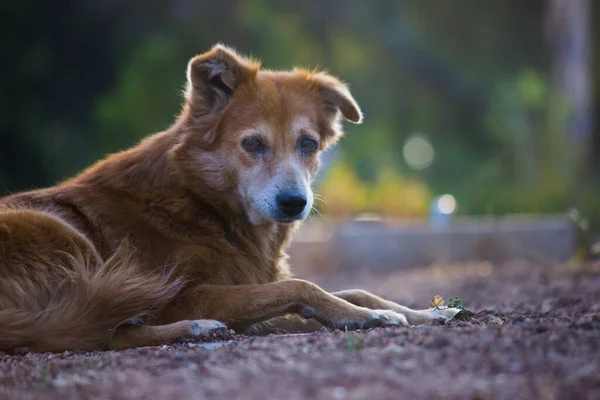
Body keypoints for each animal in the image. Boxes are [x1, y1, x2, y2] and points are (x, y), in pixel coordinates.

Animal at [1, 43, 460, 352]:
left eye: (308, 144)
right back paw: (195, 328)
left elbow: (354, 290)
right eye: (253, 144)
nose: (295, 203)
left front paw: (427, 312)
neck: (202, 202)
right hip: (62, 234)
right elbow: (302, 285)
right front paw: (370, 317)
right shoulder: (181, 293)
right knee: (92, 332)